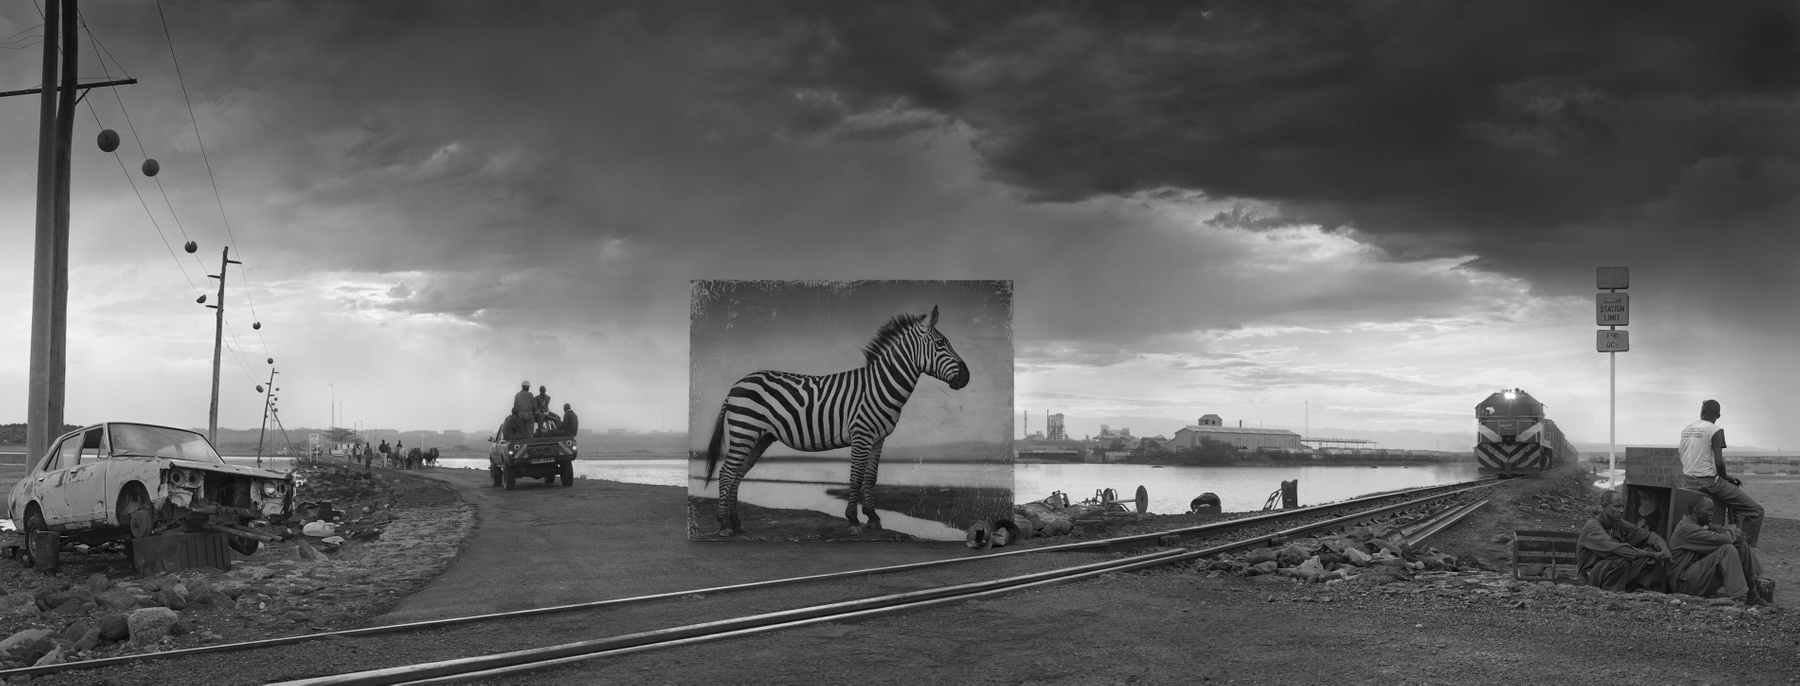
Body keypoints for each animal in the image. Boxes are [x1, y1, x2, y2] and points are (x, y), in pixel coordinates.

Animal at [702, 304, 972, 532]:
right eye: (940, 343)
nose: (966, 377)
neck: (879, 386)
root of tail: (736, 384)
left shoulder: (879, 439)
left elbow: (871, 478)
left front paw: (873, 517)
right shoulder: (861, 435)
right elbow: (855, 477)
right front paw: (853, 520)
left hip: (760, 437)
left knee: (737, 474)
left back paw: (737, 523)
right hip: (745, 431)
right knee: (726, 473)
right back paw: (724, 524)